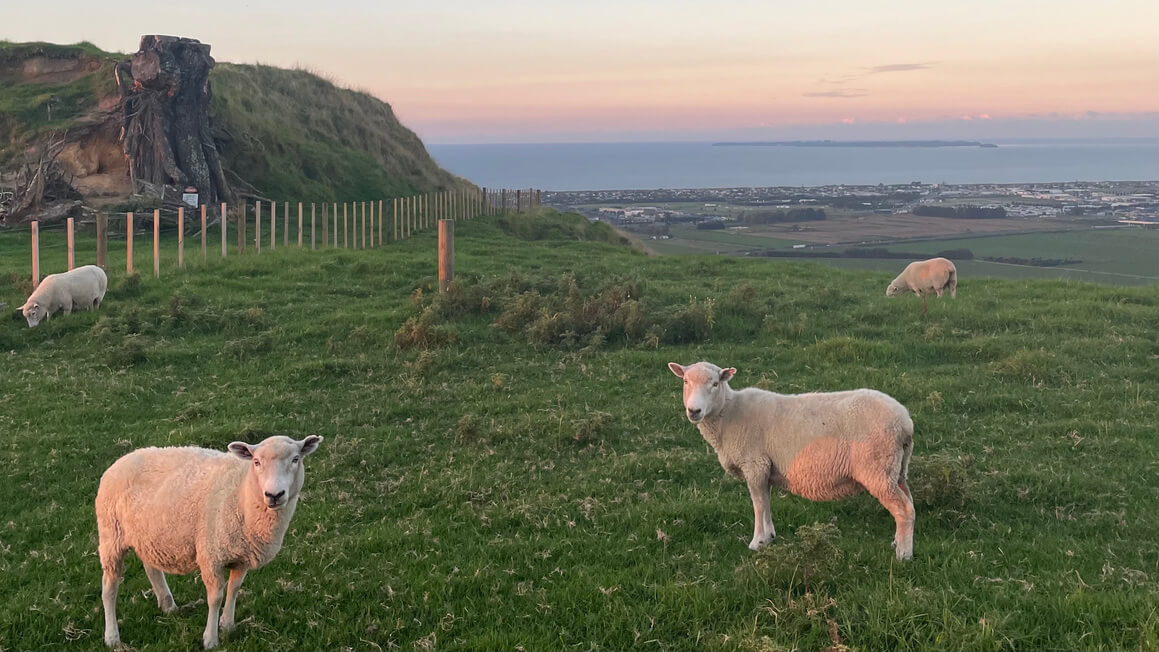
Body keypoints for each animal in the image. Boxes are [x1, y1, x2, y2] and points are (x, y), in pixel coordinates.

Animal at [97, 433, 324, 648]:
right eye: (256, 462)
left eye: (296, 459)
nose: (274, 494)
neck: (243, 493)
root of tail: (121, 460)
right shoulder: (211, 554)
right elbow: (215, 597)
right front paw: (210, 638)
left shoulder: (242, 556)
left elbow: (234, 589)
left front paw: (227, 625)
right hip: (111, 534)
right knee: (109, 587)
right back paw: (112, 636)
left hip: (148, 535)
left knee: (151, 567)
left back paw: (168, 604)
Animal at [667, 361, 917, 560]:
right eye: (686, 381)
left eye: (715, 384)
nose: (694, 411)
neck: (729, 412)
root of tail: (904, 421)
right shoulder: (765, 467)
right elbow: (766, 502)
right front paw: (769, 536)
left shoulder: (755, 464)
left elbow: (758, 503)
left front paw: (757, 542)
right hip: (896, 468)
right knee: (909, 503)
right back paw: (898, 541)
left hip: (877, 467)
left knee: (903, 508)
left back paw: (903, 554)